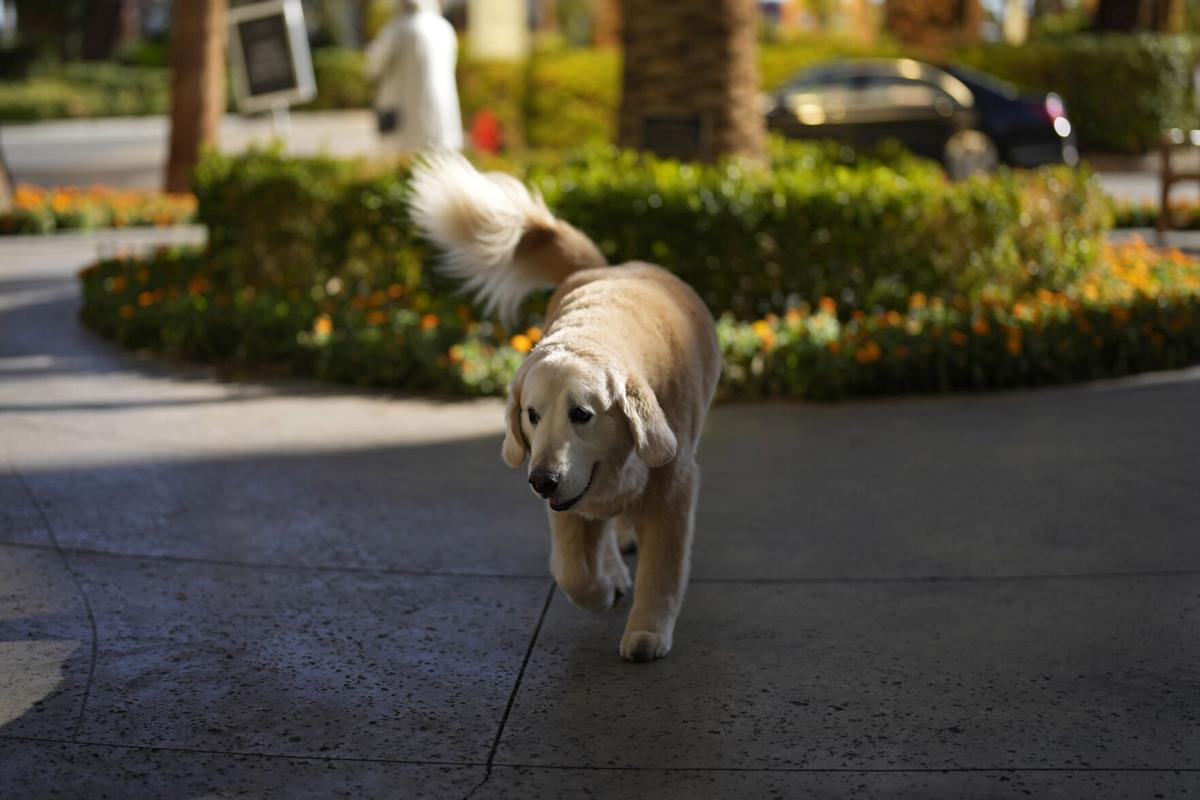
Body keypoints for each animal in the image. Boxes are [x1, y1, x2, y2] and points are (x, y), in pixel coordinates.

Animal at [408, 155, 715, 662]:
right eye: (532, 415)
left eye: (582, 414)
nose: (541, 481)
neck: (596, 331)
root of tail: (609, 268)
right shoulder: (569, 497)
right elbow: (573, 570)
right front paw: (602, 588)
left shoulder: (674, 484)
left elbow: (662, 569)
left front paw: (648, 631)